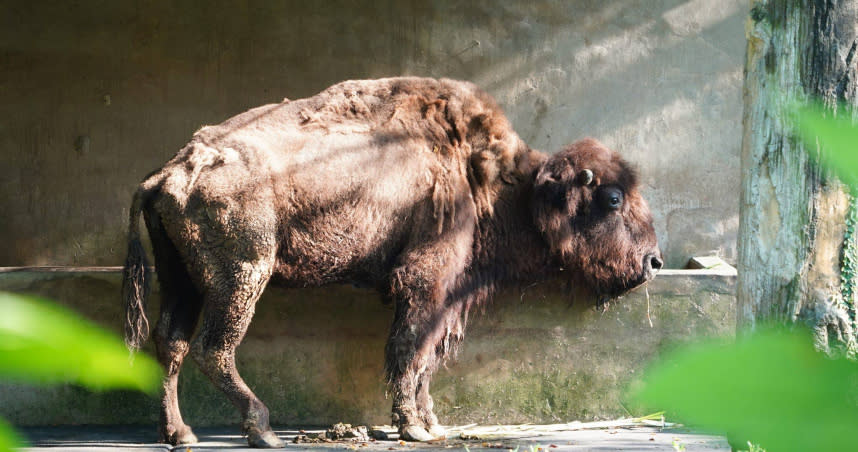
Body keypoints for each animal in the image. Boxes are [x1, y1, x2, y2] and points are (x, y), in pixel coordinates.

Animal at [120, 76, 660, 446]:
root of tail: (170, 171)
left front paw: (430, 422)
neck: (492, 179)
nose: (654, 261)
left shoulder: (446, 298)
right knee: (213, 348)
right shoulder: (425, 283)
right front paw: (412, 427)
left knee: (171, 342)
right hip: (242, 276)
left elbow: (426, 359)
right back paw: (263, 430)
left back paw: (180, 434)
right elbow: (410, 350)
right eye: (613, 198)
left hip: (183, 278)